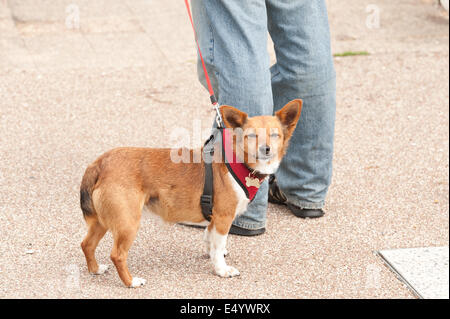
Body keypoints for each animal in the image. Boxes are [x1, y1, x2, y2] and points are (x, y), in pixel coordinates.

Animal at [80, 99, 302, 288]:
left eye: (275, 134)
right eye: (251, 135)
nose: (266, 149)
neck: (238, 162)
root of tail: (100, 163)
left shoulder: (214, 219)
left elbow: (210, 239)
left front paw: (212, 255)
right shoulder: (223, 218)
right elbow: (218, 245)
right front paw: (221, 269)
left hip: (103, 221)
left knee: (87, 244)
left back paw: (95, 269)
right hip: (128, 222)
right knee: (117, 255)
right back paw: (131, 282)